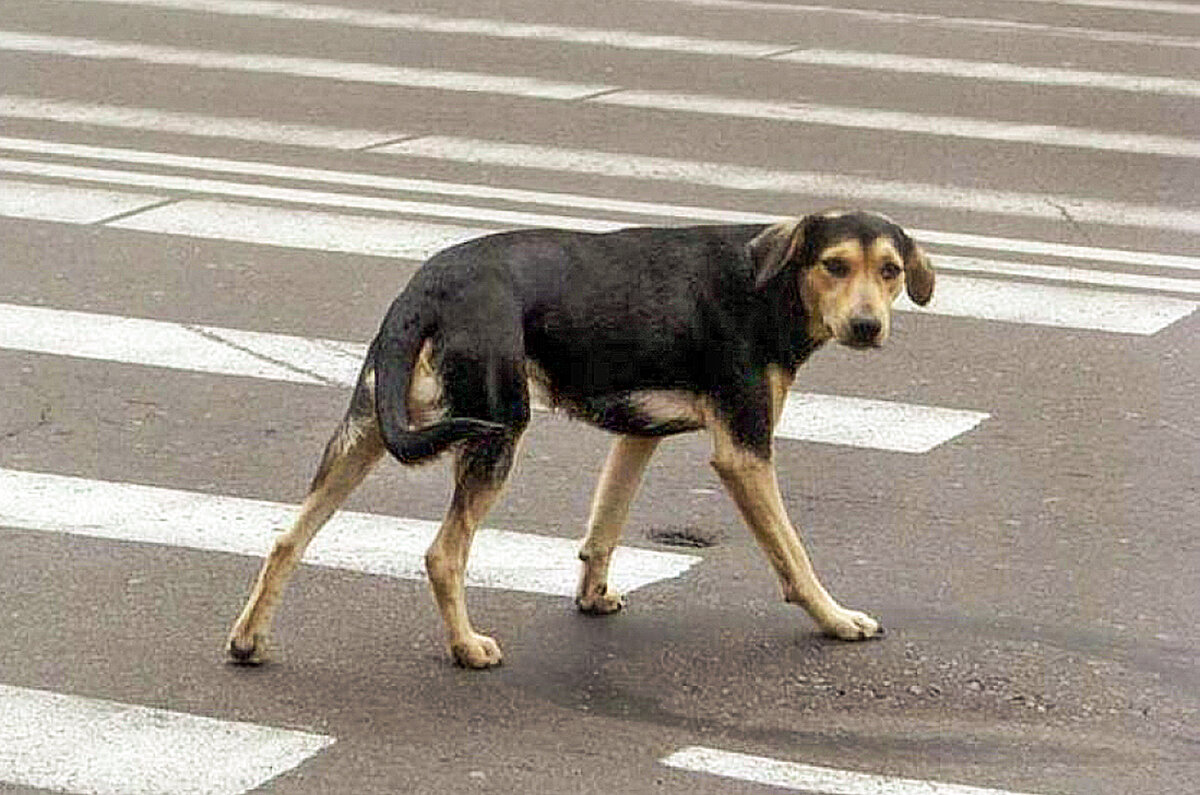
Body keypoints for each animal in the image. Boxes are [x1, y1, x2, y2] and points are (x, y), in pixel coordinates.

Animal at [226, 210, 936, 667]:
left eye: (891, 270)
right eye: (835, 265)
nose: (868, 326)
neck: (767, 282)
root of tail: (427, 286)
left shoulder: (639, 433)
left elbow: (604, 528)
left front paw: (592, 597)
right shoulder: (744, 451)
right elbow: (793, 555)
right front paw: (837, 620)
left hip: (366, 433)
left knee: (288, 538)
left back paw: (248, 640)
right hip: (497, 431)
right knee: (443, 554)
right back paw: (466, 648)